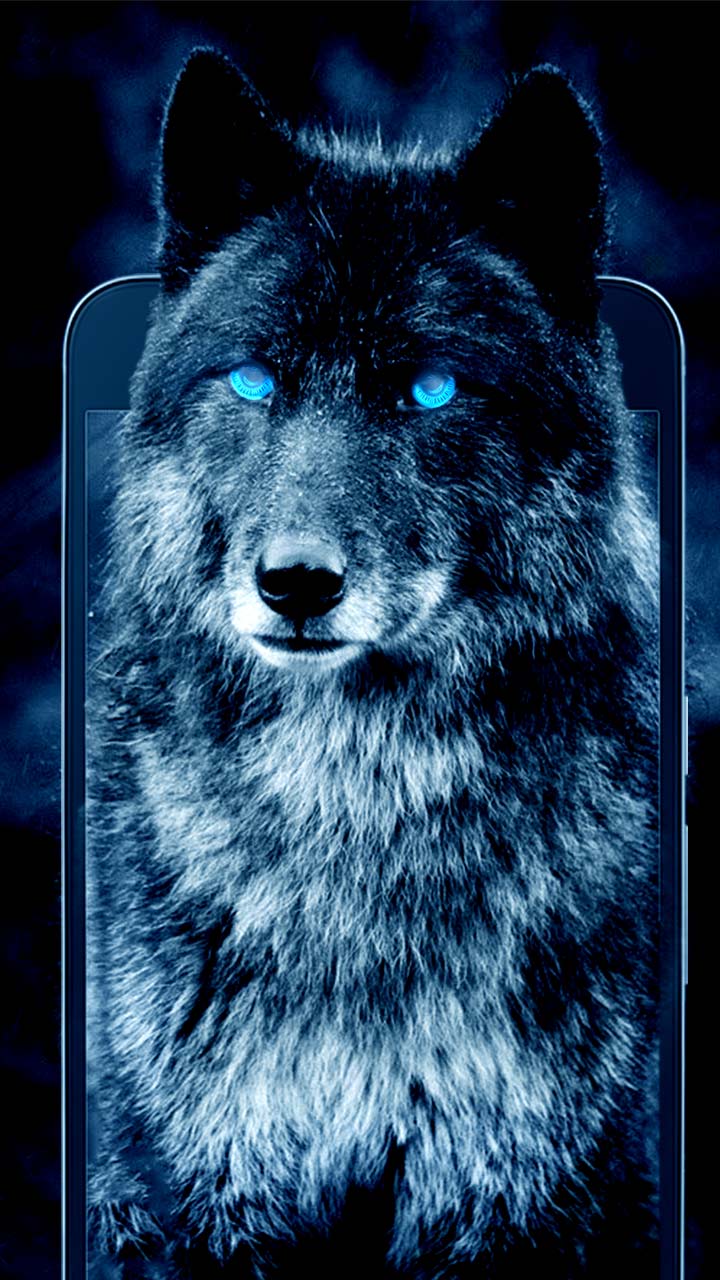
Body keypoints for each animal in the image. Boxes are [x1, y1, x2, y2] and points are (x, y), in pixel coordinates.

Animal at [87, 49, 659, 1279]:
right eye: (254, 382)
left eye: (429, 389)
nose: (295, 581)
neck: (355, 813)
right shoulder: (197, 1188)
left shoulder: (509, 1193)